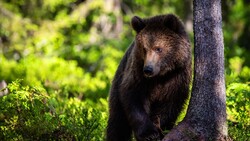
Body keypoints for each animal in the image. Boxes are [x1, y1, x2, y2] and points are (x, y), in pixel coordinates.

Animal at [107, 13, 191, 141]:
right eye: (144, 49)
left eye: (158, 48)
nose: (148, 69)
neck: (161, 76)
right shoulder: (137, 74)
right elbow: (134, 98)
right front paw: (149, 134)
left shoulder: (177, 77)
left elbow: (169, 106)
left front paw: (161, 129)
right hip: (117, 84)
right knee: (117, 122)